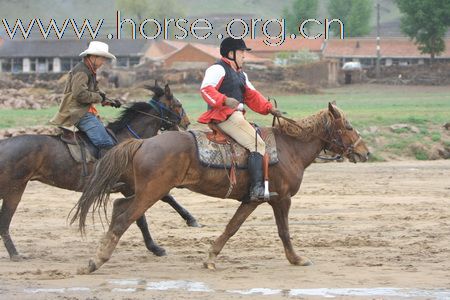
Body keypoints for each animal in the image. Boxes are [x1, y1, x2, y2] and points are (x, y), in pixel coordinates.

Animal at [0, 83, 199, 262]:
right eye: (178, 104)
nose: (187, 122)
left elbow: (165, 198)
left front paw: (188, 220)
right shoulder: (130, 186)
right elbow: (143, 215)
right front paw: (156, 246)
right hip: (14, 189)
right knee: (4, 222)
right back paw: (15, 254)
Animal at [73, 103, 370, 274]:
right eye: (348, 126)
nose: (365, 152)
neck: (289, 148)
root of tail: (144, 143)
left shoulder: (252, 200)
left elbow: (231, 227)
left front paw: (211, 257)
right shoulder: (282, 199)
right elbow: (284, 231)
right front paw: (296, 259)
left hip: (143, 192)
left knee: (119, 208)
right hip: (151, 193)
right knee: (124, 218)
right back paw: (96, 260)